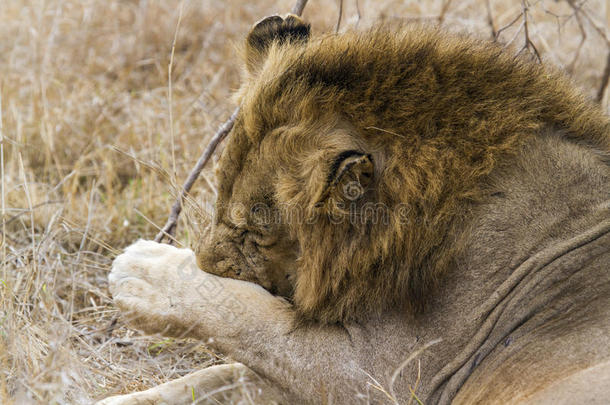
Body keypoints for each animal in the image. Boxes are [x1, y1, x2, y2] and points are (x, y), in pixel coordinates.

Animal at [100, 14, 608, 402]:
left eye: (252, 235)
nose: (205, 263)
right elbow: (217, 376)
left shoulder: (388, 376)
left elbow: (250, 317)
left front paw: (147, 271)